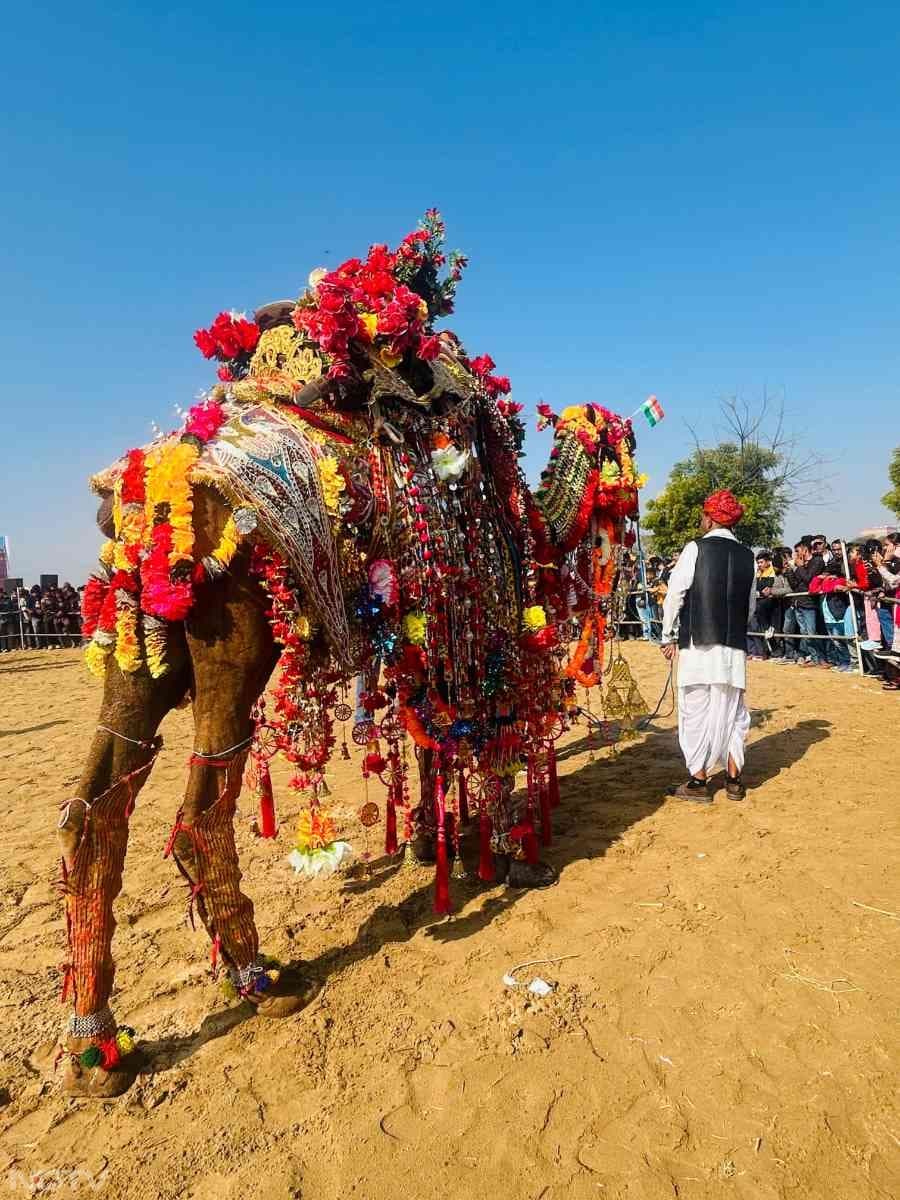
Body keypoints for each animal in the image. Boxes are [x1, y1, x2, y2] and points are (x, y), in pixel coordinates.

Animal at [54, 211, 648, 1094]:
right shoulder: (486, 608)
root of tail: (147, 480)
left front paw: (436, 847)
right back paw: (262, 980)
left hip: (134, 633)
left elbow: (435, 742)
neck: (524, 510)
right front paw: (515, 857)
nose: (638, 506)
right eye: (624, 450)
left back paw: (96, 1049)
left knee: (95, 807)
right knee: (203, 806)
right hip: (235, 623)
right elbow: (492, 736)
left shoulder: (425, 626)